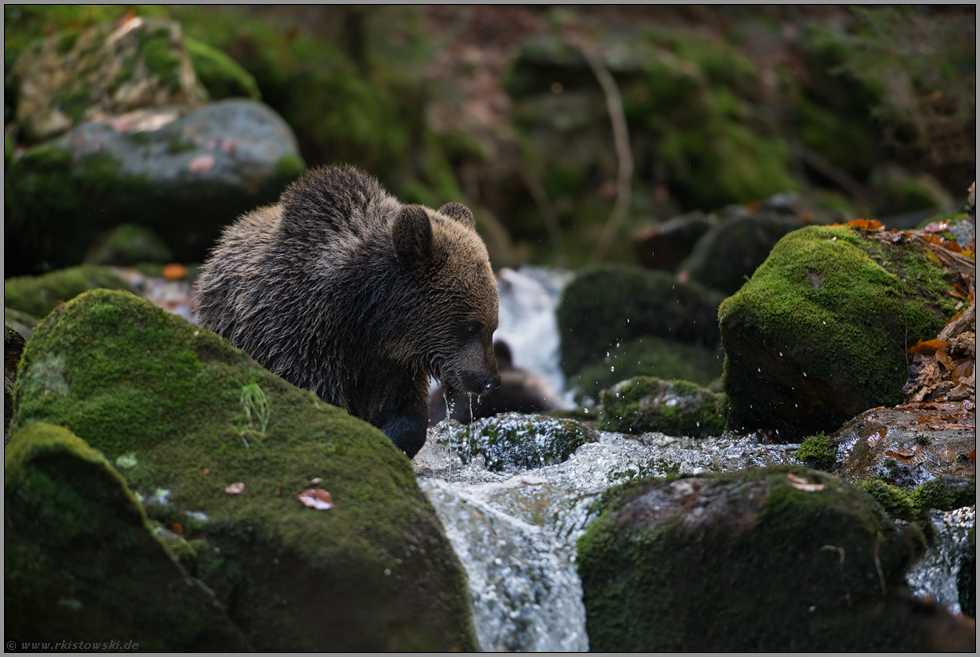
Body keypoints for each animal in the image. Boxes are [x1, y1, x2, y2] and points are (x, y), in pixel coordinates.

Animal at [195, 164, 502, 456]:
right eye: (471, 327)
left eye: (493, 325)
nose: (491, 381)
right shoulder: (298, 338)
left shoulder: (392, 364)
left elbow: (405, 413)